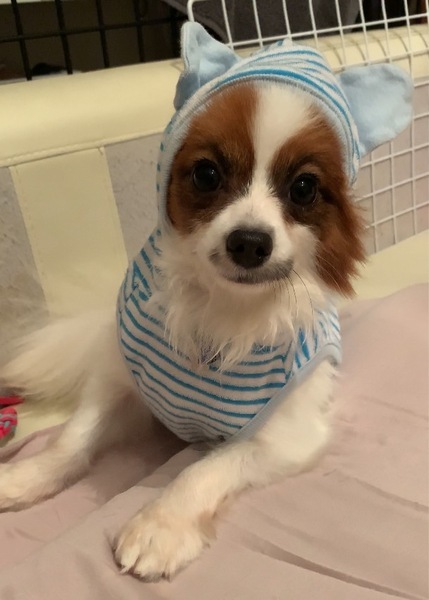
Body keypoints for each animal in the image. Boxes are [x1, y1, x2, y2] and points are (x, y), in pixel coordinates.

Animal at [0, 23, 412, 580]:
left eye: (304, 187)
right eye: (207, 175)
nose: (250, 242)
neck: (223, 310)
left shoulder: (288, 437)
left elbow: (206, 467)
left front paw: (159, 526)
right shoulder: (121, 382)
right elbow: (74, 438)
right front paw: (25, 477)